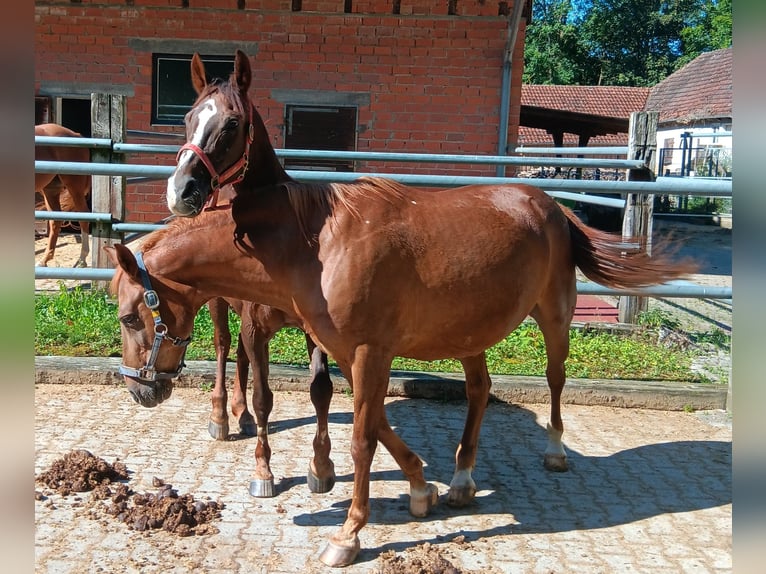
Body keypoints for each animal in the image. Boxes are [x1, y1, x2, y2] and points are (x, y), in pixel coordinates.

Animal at [34, 124, 92, 268]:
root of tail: (76, 135)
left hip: (74, 187)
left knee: (83, 217)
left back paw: (82, 260)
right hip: (51, 190)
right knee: (56, 221)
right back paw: (44, 261)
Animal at [111, 50, 700, 572]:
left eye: (130, 317)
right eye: (189, 117)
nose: (139, 391)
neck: (315, 242)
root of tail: (550, 204)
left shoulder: (369, 352)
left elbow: (362, 438)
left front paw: (348, 535)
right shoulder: (346, 351)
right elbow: (373, 421)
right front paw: (420, 487)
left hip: (554, 317)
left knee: (555, 379)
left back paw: (554, 450)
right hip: (469, 334)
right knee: (479, 391)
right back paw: (460, 480)